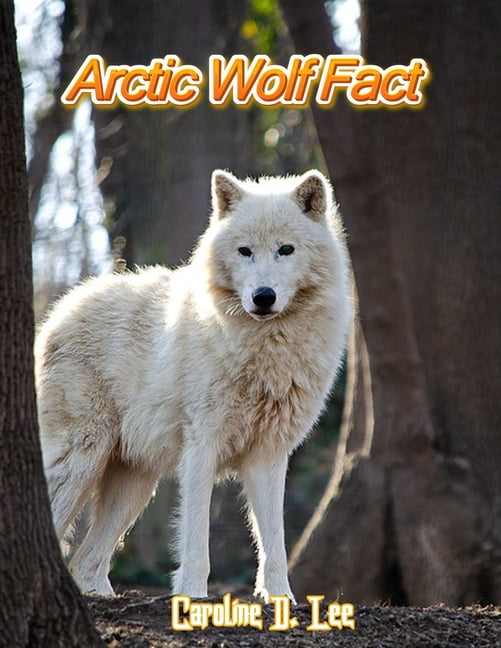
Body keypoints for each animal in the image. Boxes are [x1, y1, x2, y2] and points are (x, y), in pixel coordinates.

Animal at [35, 169, 353, 602]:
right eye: (244, 251)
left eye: (286, 250)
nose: (263, 296)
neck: (265, 348)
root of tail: (60, 308)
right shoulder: (202, 447)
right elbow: (196, 537)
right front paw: (193, 596)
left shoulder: (269, 455)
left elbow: (274, 540)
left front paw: (280, 598)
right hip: (82, 460)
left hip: (134, 485)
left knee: (86, 562)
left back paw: (101, 595)